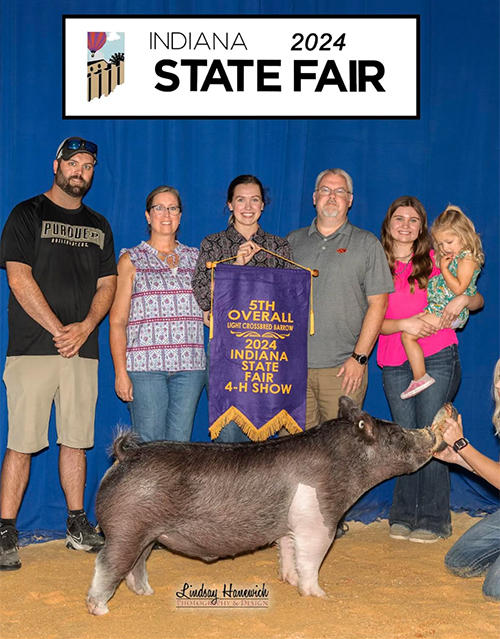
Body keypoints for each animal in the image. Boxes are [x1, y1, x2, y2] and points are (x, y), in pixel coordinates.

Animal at [87, 396, 449, 615]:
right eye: (397, 434)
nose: (430, 434)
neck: (347, 464)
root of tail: (125, 454)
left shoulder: (290, 526)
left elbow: (288, 549)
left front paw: (288, 580)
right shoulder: (318, 520)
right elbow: (312, 558)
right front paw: (320, 596)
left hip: (146, 533)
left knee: (136, 565)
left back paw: (147, 594)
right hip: (126, 527)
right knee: (108, 564)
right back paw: (100, 609)